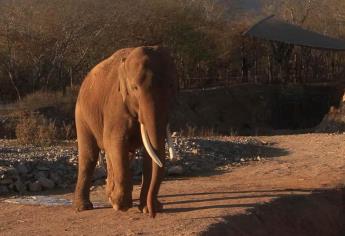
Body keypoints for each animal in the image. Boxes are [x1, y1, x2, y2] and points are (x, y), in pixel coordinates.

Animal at [74, 45, 177, 217]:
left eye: (171, 86)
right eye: (135, 88)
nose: (153, 214)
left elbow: (151, 153)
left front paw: (147, 208)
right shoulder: (115, 105)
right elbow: (115, 142)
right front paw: (121, 205)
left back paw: (110, 197)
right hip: (82, 115)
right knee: (89, 156)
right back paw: (84, 207)